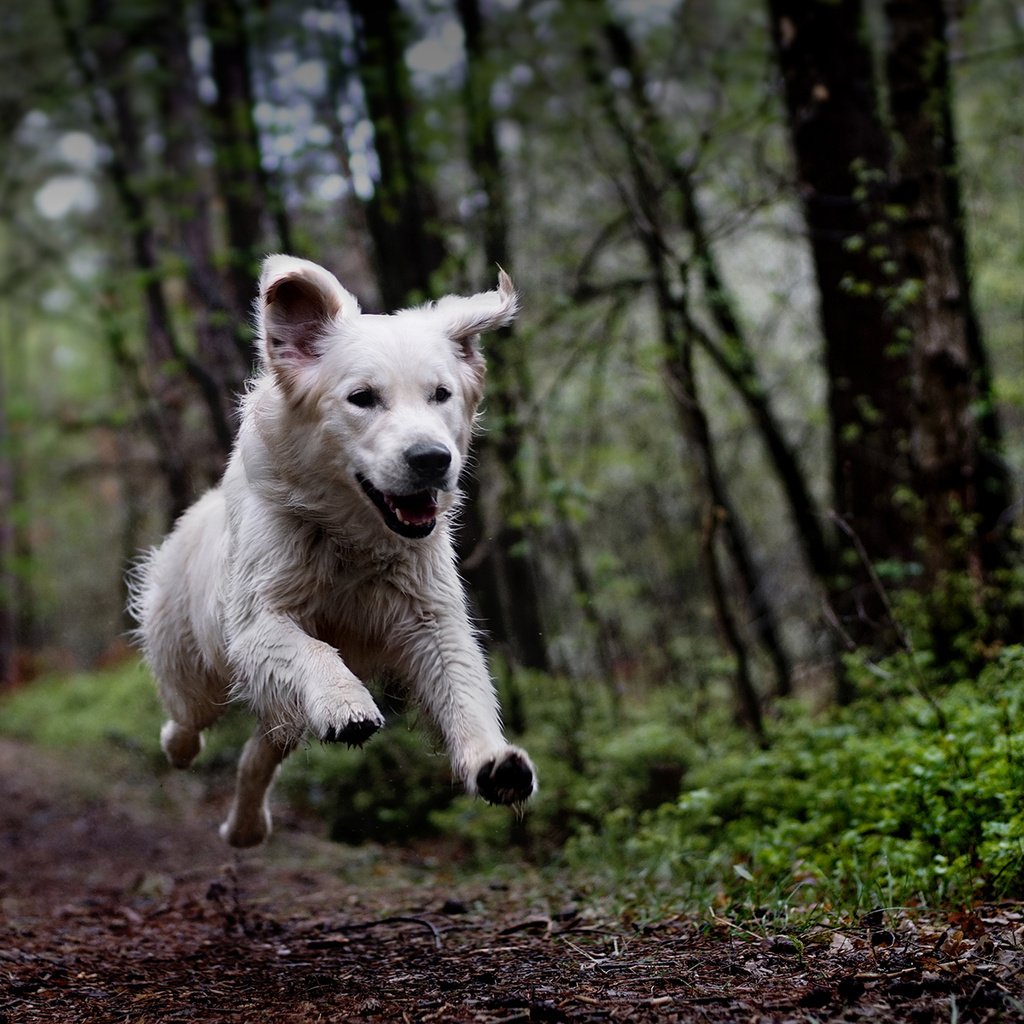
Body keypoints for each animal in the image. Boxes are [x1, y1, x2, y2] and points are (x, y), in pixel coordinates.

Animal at [130, 256, 536, 847]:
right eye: (362, 397)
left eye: (440, 394)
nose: (432, 459)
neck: (350, 539)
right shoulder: (257, 622)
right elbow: (317, 651)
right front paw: (348, 706)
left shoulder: (431, 616)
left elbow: (464, 687)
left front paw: (494, 763)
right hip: (192, 666)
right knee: (187, 719)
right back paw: (181, 751)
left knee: (260, 750)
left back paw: (245, 827)